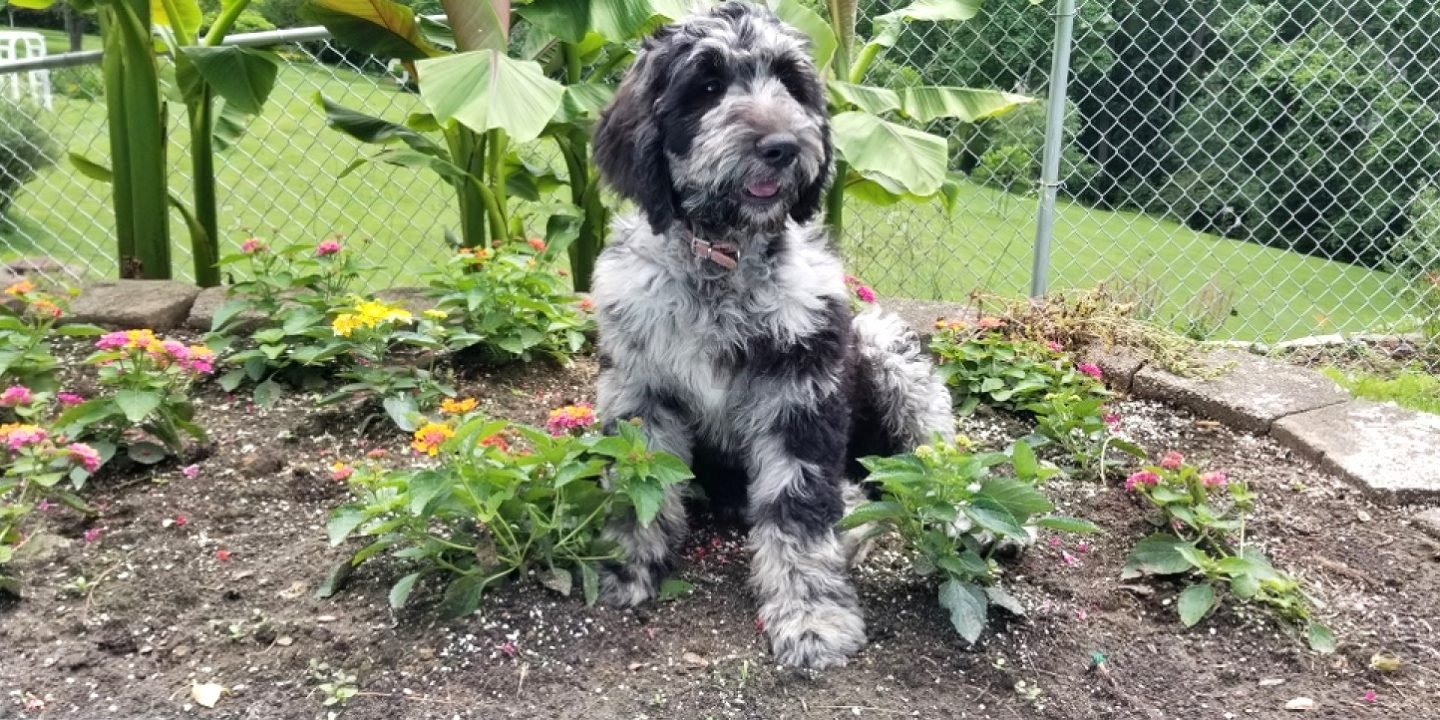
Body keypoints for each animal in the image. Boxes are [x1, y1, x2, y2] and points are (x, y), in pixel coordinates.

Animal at [584, 0, 956, 668]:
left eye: (790, 83)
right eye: (706, 87)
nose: (782, 146)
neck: (723, 261)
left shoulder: (800, 388)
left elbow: (797, 506)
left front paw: (811, 618)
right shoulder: (639, 389)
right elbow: (639, 485)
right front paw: (626, 568)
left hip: (884, 350)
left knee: (938, 469)